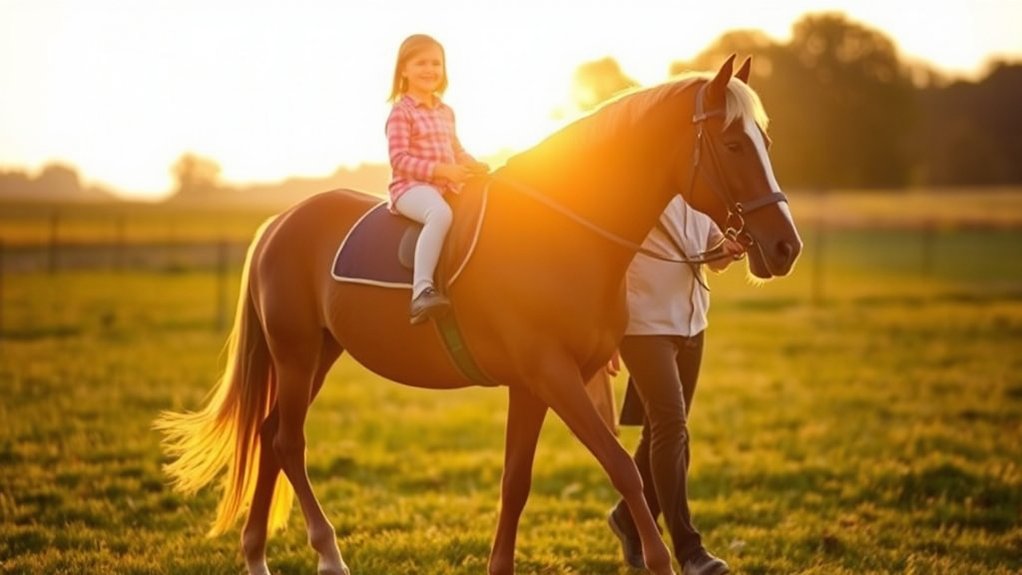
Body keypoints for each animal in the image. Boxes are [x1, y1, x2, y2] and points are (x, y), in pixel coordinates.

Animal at [155, 55, 801, 575]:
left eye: (768, 143)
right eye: (734, 145)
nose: (784, 247)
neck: (561, 232)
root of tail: (279, 224)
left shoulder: (536, 385)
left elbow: (517, 483)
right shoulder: (552, 375)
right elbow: (623, 466)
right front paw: (660, 560)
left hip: (317, 354)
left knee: (268, 436)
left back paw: (258, 556)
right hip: (295, 355)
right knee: (288, 442)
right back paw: (329, 554)